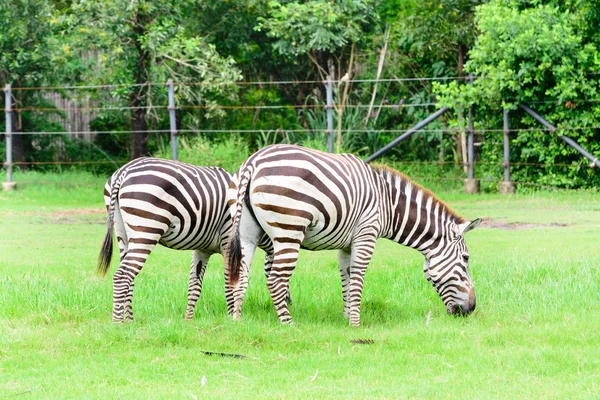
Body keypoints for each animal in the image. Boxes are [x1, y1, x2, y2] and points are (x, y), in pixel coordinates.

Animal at [96, 156, 274, 322]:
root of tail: (123, 171)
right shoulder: (227, 241)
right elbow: (229, 282)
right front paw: (231, 318)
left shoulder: (202, 249)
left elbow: (195, 285)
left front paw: (188, 320)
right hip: (146, 229)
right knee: (122, 276)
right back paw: (118, 323)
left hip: (122, 233)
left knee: (129, 276)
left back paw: (130, 321)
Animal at [227, 145, 480, 326]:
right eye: (466, 259)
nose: (471, 309)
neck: (388, 205)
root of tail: (253, 162)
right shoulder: (366, 235)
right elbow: (358, 277)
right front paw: (356, 324)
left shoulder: (346, 245)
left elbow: (346, 277)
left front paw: (347, 317)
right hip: (289, 230)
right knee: (276, 279)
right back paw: (288, 324)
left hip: (247, 235)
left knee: (239, 274)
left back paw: (237, 321)